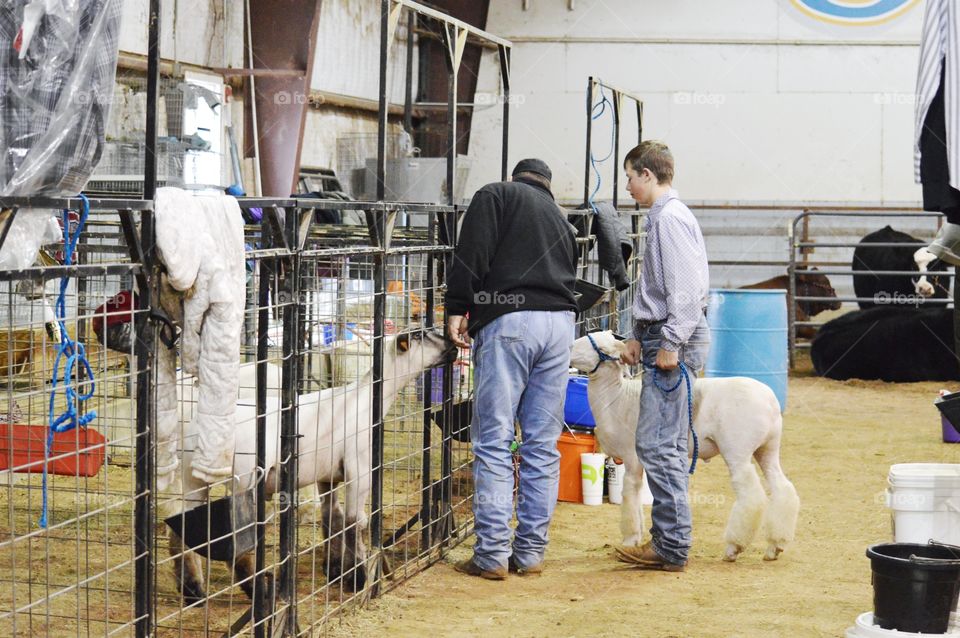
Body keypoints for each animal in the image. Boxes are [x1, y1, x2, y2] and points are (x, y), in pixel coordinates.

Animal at [568, 332, 804, 564]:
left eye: (600, 347)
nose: (568, 349)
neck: (616, 399)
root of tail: (771, 400)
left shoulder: (632, 458)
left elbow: (629, 497)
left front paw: (629, 541)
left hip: (738, 450)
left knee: (752, 496)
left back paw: (733, 548)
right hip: (768, 448)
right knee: (783, 488)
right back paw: (775, 547)